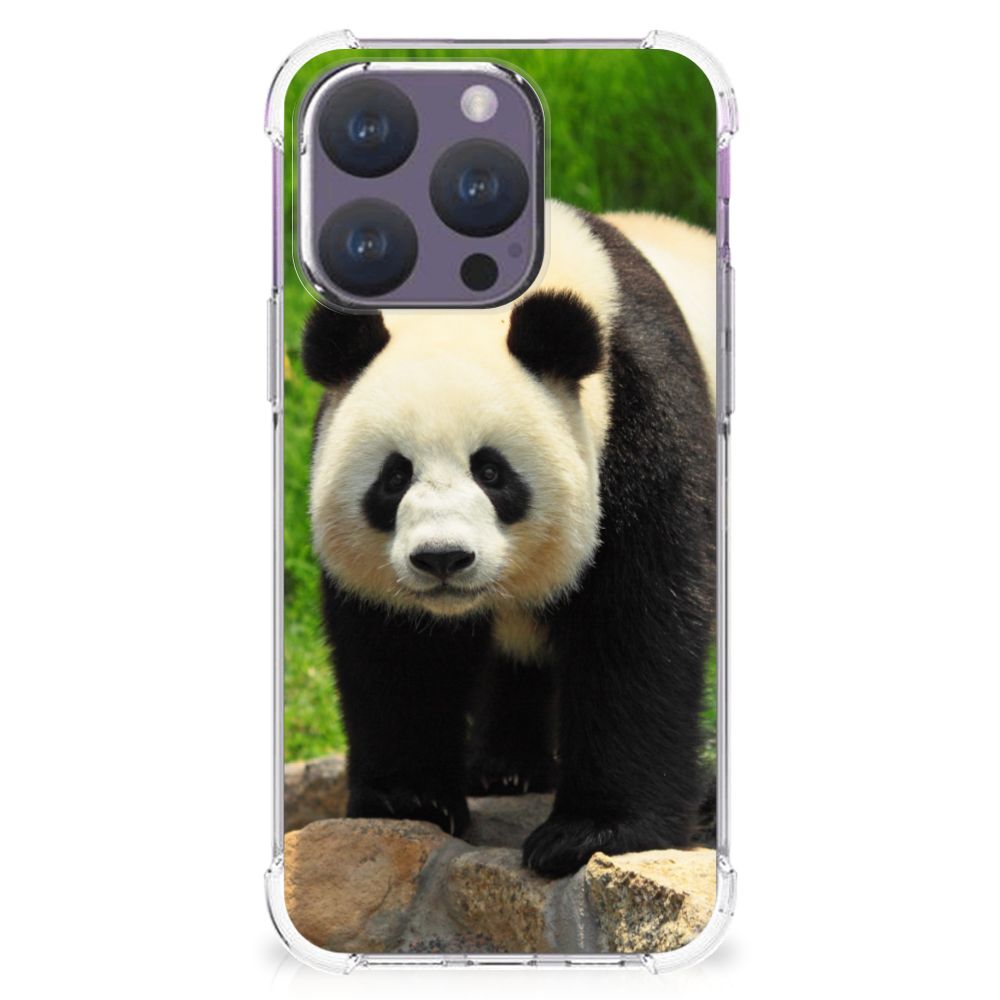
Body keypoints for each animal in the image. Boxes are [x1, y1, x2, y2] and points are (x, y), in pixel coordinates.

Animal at [301, 200, 716, 877]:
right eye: (394, 477)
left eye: (492, 472)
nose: (443, 559)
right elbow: (398, 649)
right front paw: (408, 800)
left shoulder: (641, 420)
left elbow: (639, 624)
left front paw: (591, 833)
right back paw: (505, 769)